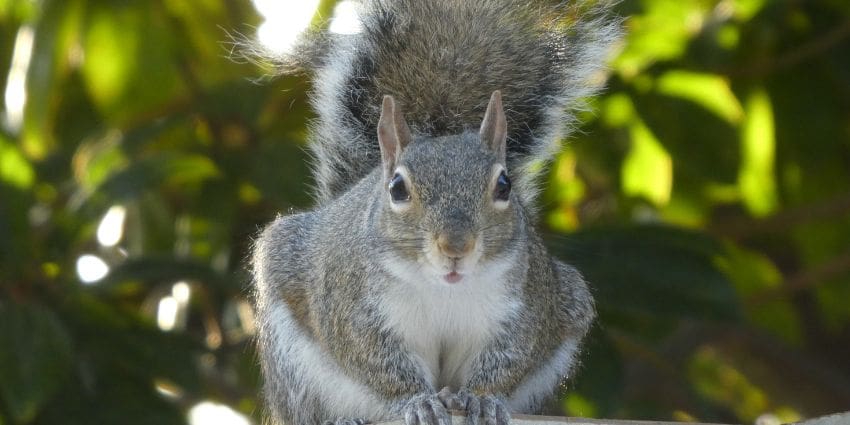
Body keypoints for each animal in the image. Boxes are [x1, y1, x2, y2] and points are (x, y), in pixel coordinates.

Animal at [248, 0, 620, 424]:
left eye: (504, 185)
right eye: (397, 189)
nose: (456, 246)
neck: (443, 287)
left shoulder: (527, 303)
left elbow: (511, 356)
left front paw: (483, 399)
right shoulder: (351, 304)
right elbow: (375, 358)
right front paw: (417, 400)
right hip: (292, 365)